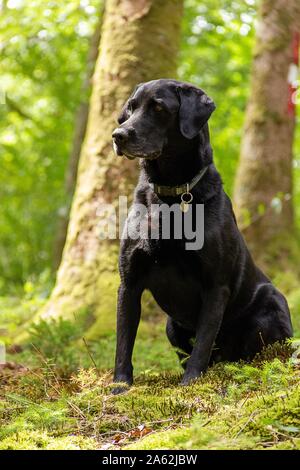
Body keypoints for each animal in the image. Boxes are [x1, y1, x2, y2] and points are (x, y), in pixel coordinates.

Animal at [111, 79, 292, 392]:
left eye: (158, 107)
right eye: (130, 108)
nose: (118, 135)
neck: (170, 194)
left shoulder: (215, 285)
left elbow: (204, 341)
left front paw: (191, 383)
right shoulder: (129, 283)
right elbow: (124, 341)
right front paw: (120, 385)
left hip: (272, 299)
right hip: (171, 325)